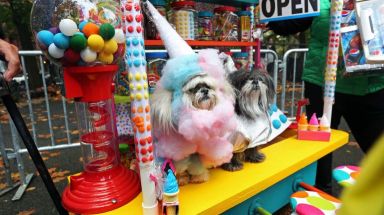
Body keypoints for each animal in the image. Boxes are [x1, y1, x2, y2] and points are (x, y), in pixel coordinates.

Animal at [151, 48, 236, 185]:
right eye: (193, 88)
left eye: (207, 86)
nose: (204, 91)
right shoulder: (180, 151)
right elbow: (180, 166)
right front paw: (181, 179)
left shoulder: (199, 151)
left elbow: (197, 165)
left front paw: (199, 177)